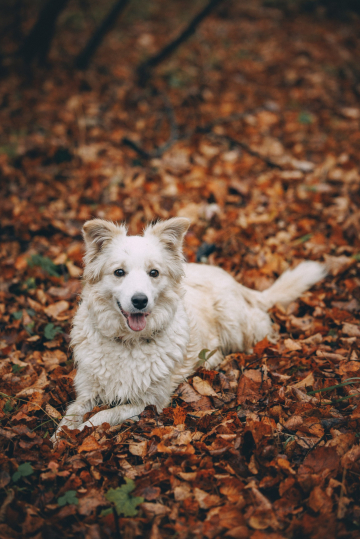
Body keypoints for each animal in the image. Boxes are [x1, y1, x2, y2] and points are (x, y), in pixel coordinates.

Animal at [52, 217, 326, 440]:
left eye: (154, 273)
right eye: (119, 272)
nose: (140, 301)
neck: (129, 342)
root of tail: (232, 279)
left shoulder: (150, 401)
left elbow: (103, 416)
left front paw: (80, 432)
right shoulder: (87, 391)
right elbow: (71, 413)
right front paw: (60, 437)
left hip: (234, 322)